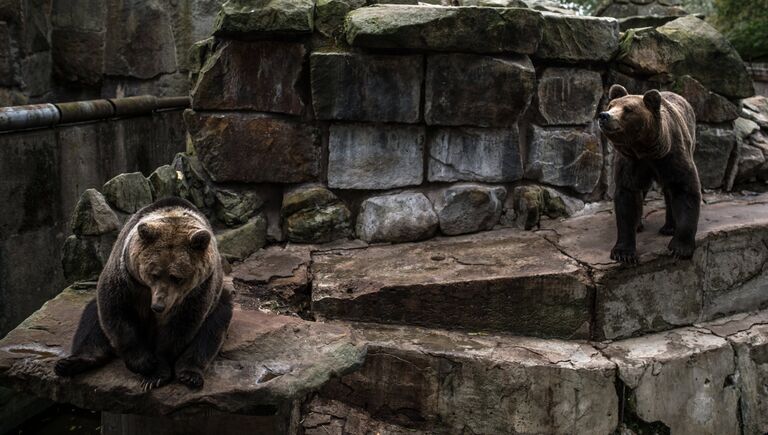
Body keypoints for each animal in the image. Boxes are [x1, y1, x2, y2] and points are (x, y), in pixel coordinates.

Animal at [54, 198, 231, 392]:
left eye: (177, 277)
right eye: (154, 273)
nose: (158, 306)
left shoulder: (197, 291)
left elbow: (179, 328)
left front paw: (155, 375)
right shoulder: (125, 278)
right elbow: (116, 313)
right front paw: (144, 363)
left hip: (218, 302)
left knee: (211, 331)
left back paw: (190, 375)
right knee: (92, 322)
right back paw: (70, 363)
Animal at [600, 84, 704, 264]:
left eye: (628, 109)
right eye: (611, 105)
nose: (604, 116)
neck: (645, 149)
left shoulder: (672, 157)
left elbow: (685, 191)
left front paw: (680, 248)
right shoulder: (631, 163)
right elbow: (627, 198)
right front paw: (623, 252)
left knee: (670, 191)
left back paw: (669, 227)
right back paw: (639, 224)